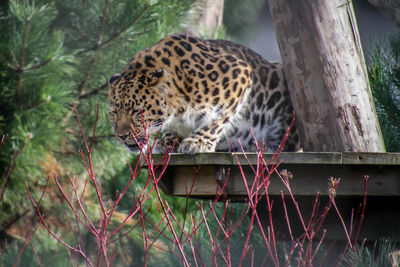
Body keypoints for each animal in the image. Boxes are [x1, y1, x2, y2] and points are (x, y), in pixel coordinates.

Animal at [109, 33, 300, 154]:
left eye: (136, 111)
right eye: (114, 113)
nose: (121, 136)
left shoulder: (240, 73)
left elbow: (218, 119)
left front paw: (197, 142)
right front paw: (168, 140)